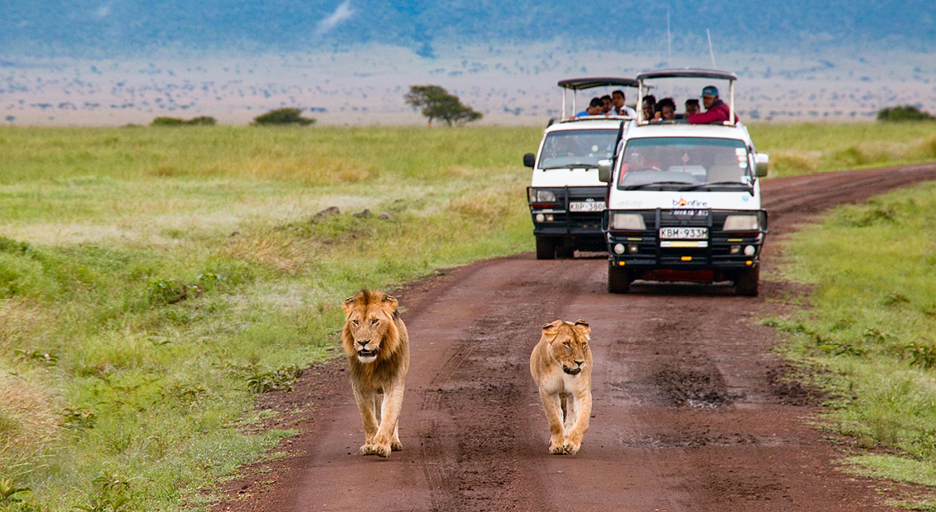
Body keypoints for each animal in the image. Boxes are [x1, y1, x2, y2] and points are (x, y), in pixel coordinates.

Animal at [338, 290, 408, 458]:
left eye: (375, 321)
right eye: (355, 322)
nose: (363, 342)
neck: (372, 364)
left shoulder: (394, 384)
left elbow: (389, 416)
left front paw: (382, 446)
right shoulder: (360, 386)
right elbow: (368, 419)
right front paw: (370, 444)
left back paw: (394, 441)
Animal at [528, 320, 592, 456]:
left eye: (583, 344)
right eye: (566, 344)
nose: (580, 362)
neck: (563, 369)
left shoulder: (582, 392)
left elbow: (582, 421)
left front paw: (572, 444)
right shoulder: (547, 391)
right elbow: (555, 421)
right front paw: (557, 446)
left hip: (570, 395)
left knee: (571, 415)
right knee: (561, 414)